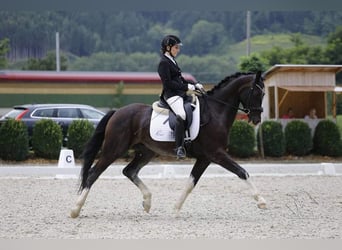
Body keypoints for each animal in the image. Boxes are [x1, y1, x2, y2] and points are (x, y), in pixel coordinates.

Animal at [70, 71, 268, 219]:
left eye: (264, 94)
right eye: (257, 93)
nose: (256, 119)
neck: (216, 112)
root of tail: (117, 112)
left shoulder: (205, 158)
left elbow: (190, 183)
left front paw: (175, 209)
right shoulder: (216, 154)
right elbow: (242, 172)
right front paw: (261, 201)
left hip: (147, 152)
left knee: (129, 171)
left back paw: (147, 202)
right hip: (114, 149)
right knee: (93, 174)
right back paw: (75, 209)